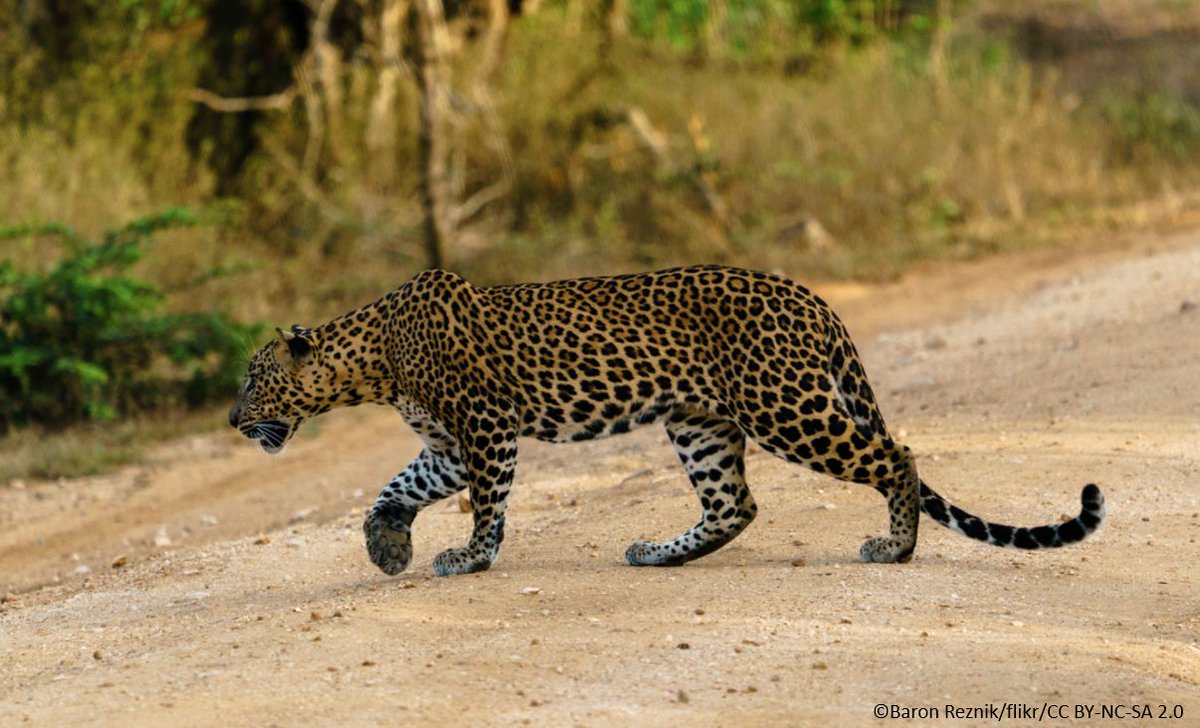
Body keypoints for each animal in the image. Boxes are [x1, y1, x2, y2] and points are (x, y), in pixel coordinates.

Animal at [228, 265, 1105, 577]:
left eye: (252, 377)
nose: (233, 420)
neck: (371, 360)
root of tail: (814, 297)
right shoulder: (445, 446)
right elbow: (394, 488)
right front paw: (387, 546)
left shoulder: (484, 431)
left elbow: (487, 506)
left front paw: (468, 559)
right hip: (700, 421)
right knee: (734, 504)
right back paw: (658, 553)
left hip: (786, 407)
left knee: (899, 455)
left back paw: (896, 548)